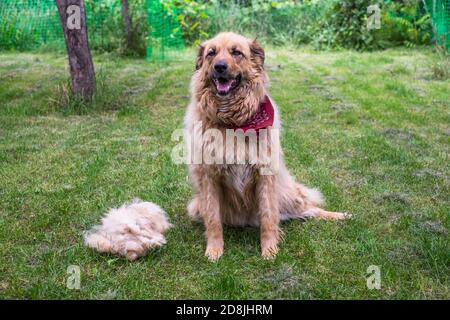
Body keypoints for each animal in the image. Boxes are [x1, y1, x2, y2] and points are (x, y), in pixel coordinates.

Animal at [183, 31, 348, 260]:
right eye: (211, 53)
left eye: (236, 52)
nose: (219, 67)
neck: (233, 123)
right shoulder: (208, 178)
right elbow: (213, 220)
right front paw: (214, 250)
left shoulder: (265, 175)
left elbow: (269, 218)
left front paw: (269, 250)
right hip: (195, 207)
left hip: (286, 195)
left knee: (308, 209)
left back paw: (340, 215)